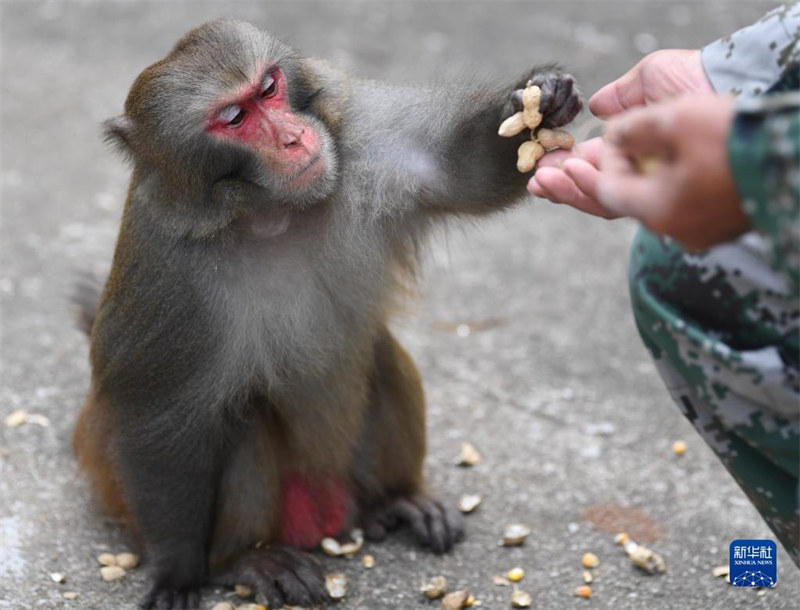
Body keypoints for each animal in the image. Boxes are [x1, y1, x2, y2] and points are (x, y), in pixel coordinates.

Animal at [73, 19, 580, 608]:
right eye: (235, 118)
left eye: (269, 88)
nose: (293, 138)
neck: (272, 213)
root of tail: (329, 517)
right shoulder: (167, 269)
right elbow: (155, 419)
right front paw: (178, 571)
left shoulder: (364, 144)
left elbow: (458, 171)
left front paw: (539, 100)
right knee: (239, 419)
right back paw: (246, 558)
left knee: (378, 355)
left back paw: (394, 500)